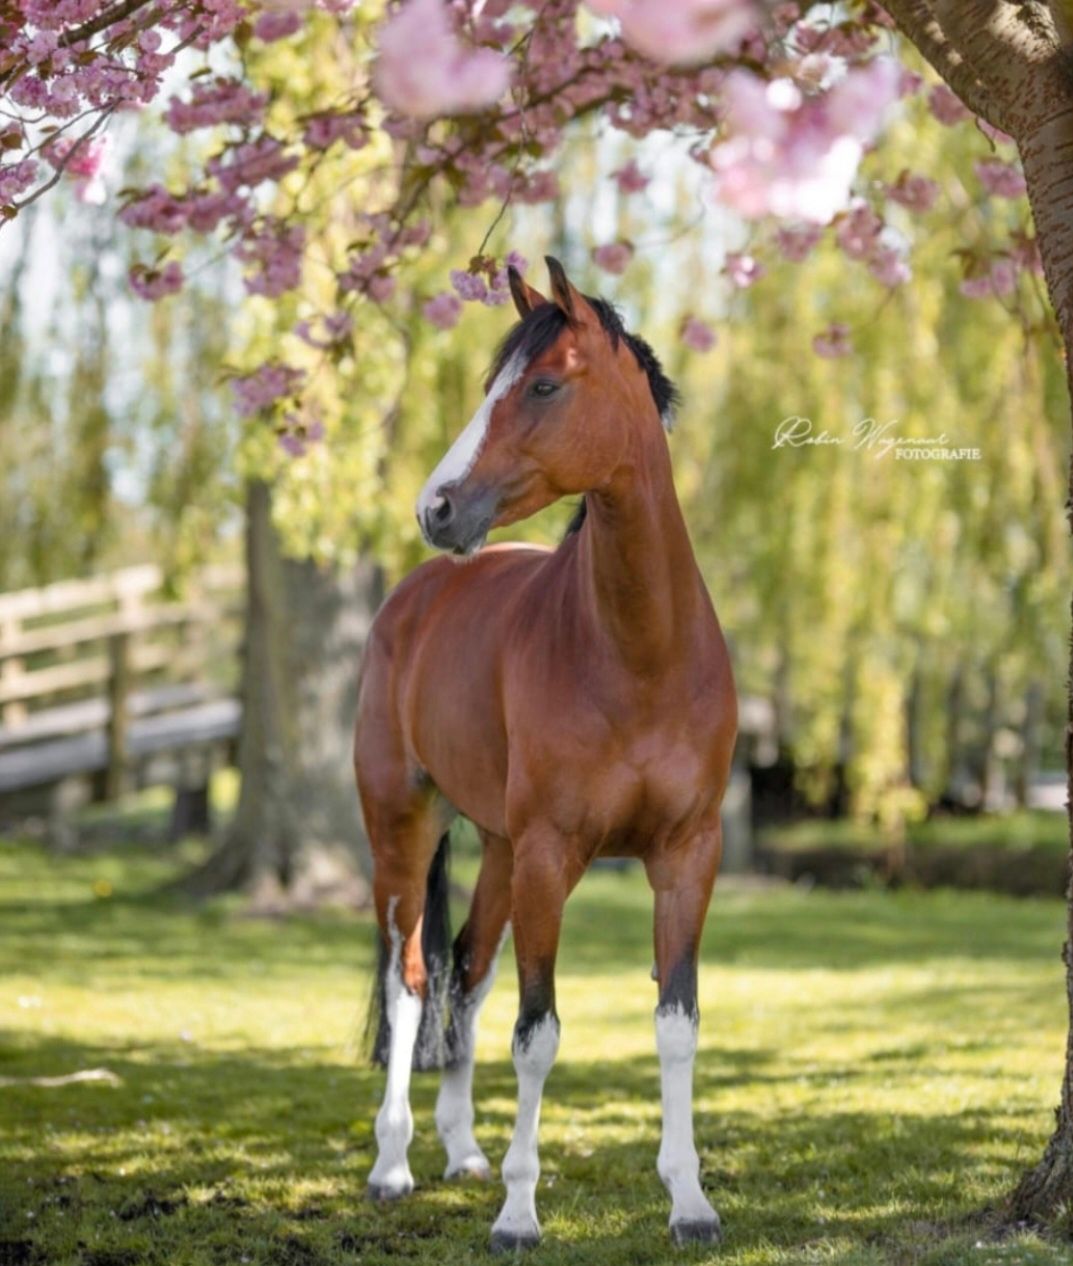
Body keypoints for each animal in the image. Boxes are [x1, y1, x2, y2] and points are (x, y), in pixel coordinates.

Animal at [354, 256, 737, 1250]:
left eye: (542, 386)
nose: (435, 507)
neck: (635, 653)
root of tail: (416, 593)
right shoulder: (549, 857)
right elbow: (538, 1031)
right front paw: (519, 1213)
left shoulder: (686, 857)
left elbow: (675, 1021)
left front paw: (689, 1200)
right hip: (405, 829)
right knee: (411, 977)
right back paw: (393, 1163)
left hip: (493, 849)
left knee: (463, 971)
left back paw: (460, 1152)